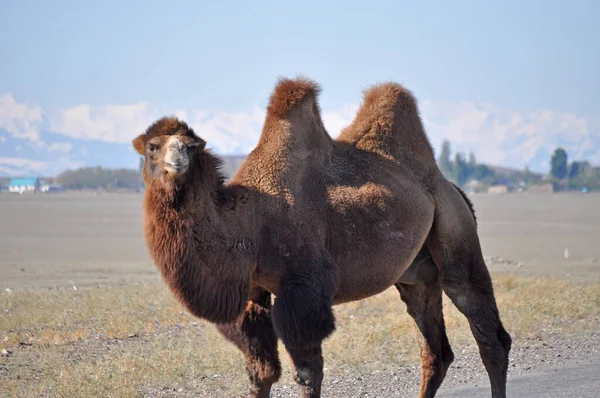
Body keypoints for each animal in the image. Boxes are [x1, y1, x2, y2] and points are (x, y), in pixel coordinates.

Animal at [134, 77, 512, 398]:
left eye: (189, 146)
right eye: (153, 147)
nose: (177, 160)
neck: (250, 220)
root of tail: (452, 187)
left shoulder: (303, 289)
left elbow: (306, 374)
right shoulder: (252, 293)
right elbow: (260, 372)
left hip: (454, 231)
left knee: (488, 332)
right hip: (415, 275)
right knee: (435, 351)